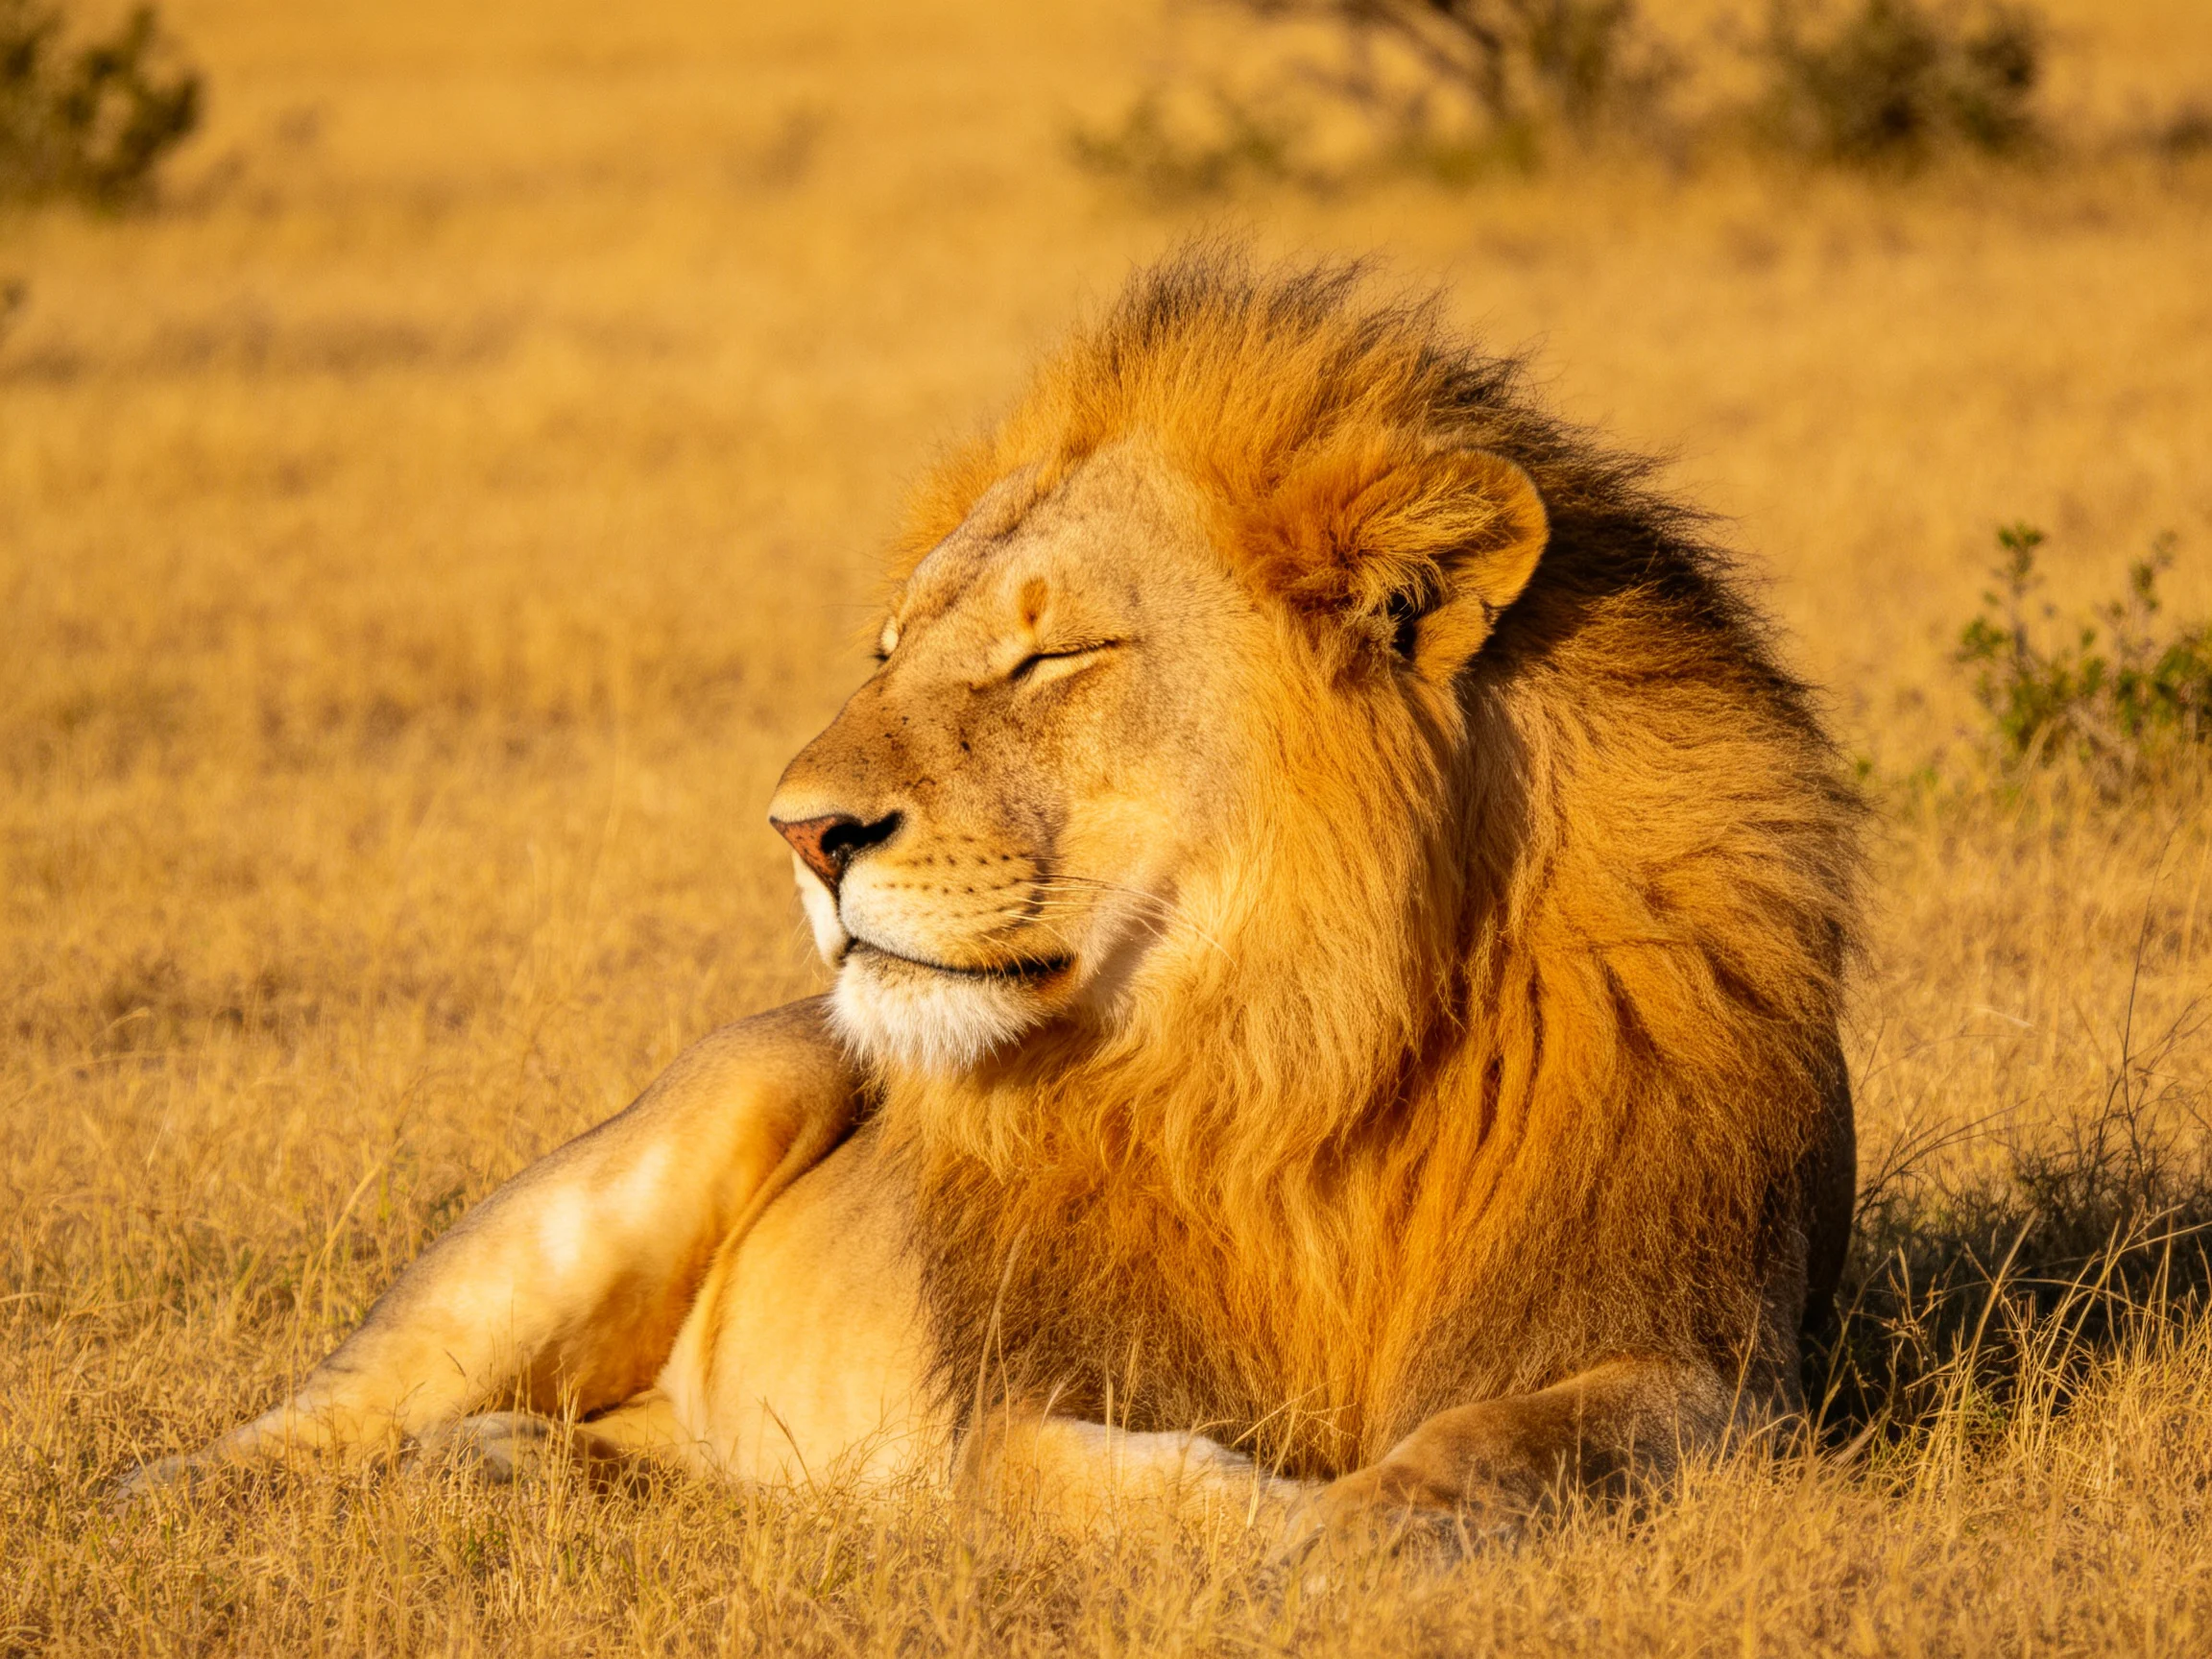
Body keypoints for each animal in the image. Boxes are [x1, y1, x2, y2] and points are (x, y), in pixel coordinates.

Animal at [126, 252, 1860, 1540]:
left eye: (1051, 654)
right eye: (892, 649)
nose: (798, 832)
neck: (1295, 1049)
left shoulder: (1709, 1356)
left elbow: (1506, 1448)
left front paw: (1370, 1525)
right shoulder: (1028, 1392)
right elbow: (1092, 1480)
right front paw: (1289, 1532)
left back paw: (526, 1472)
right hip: (653, 1153)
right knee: (334, 1406)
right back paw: (166, 1494)